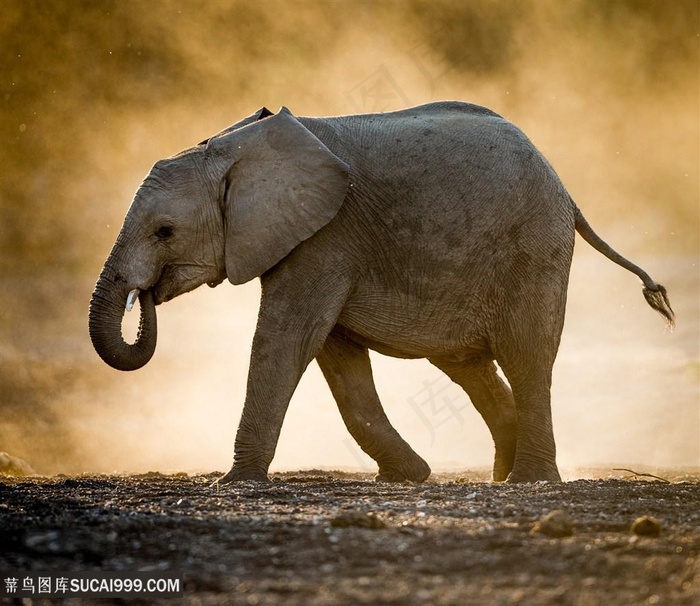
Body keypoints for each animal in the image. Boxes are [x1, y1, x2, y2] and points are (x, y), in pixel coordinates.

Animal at [89, 102, 672, 486]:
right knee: (469, 367)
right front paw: (407, 477)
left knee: (527, 356)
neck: (232, 147)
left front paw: (233, 482)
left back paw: (528, 481)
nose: (146, 295)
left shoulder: (324, 237)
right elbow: (336, 354)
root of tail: (567, 193)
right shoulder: (318, 242)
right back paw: (501, 474)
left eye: (164, 232)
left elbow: (286, 339)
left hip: (533, 249)